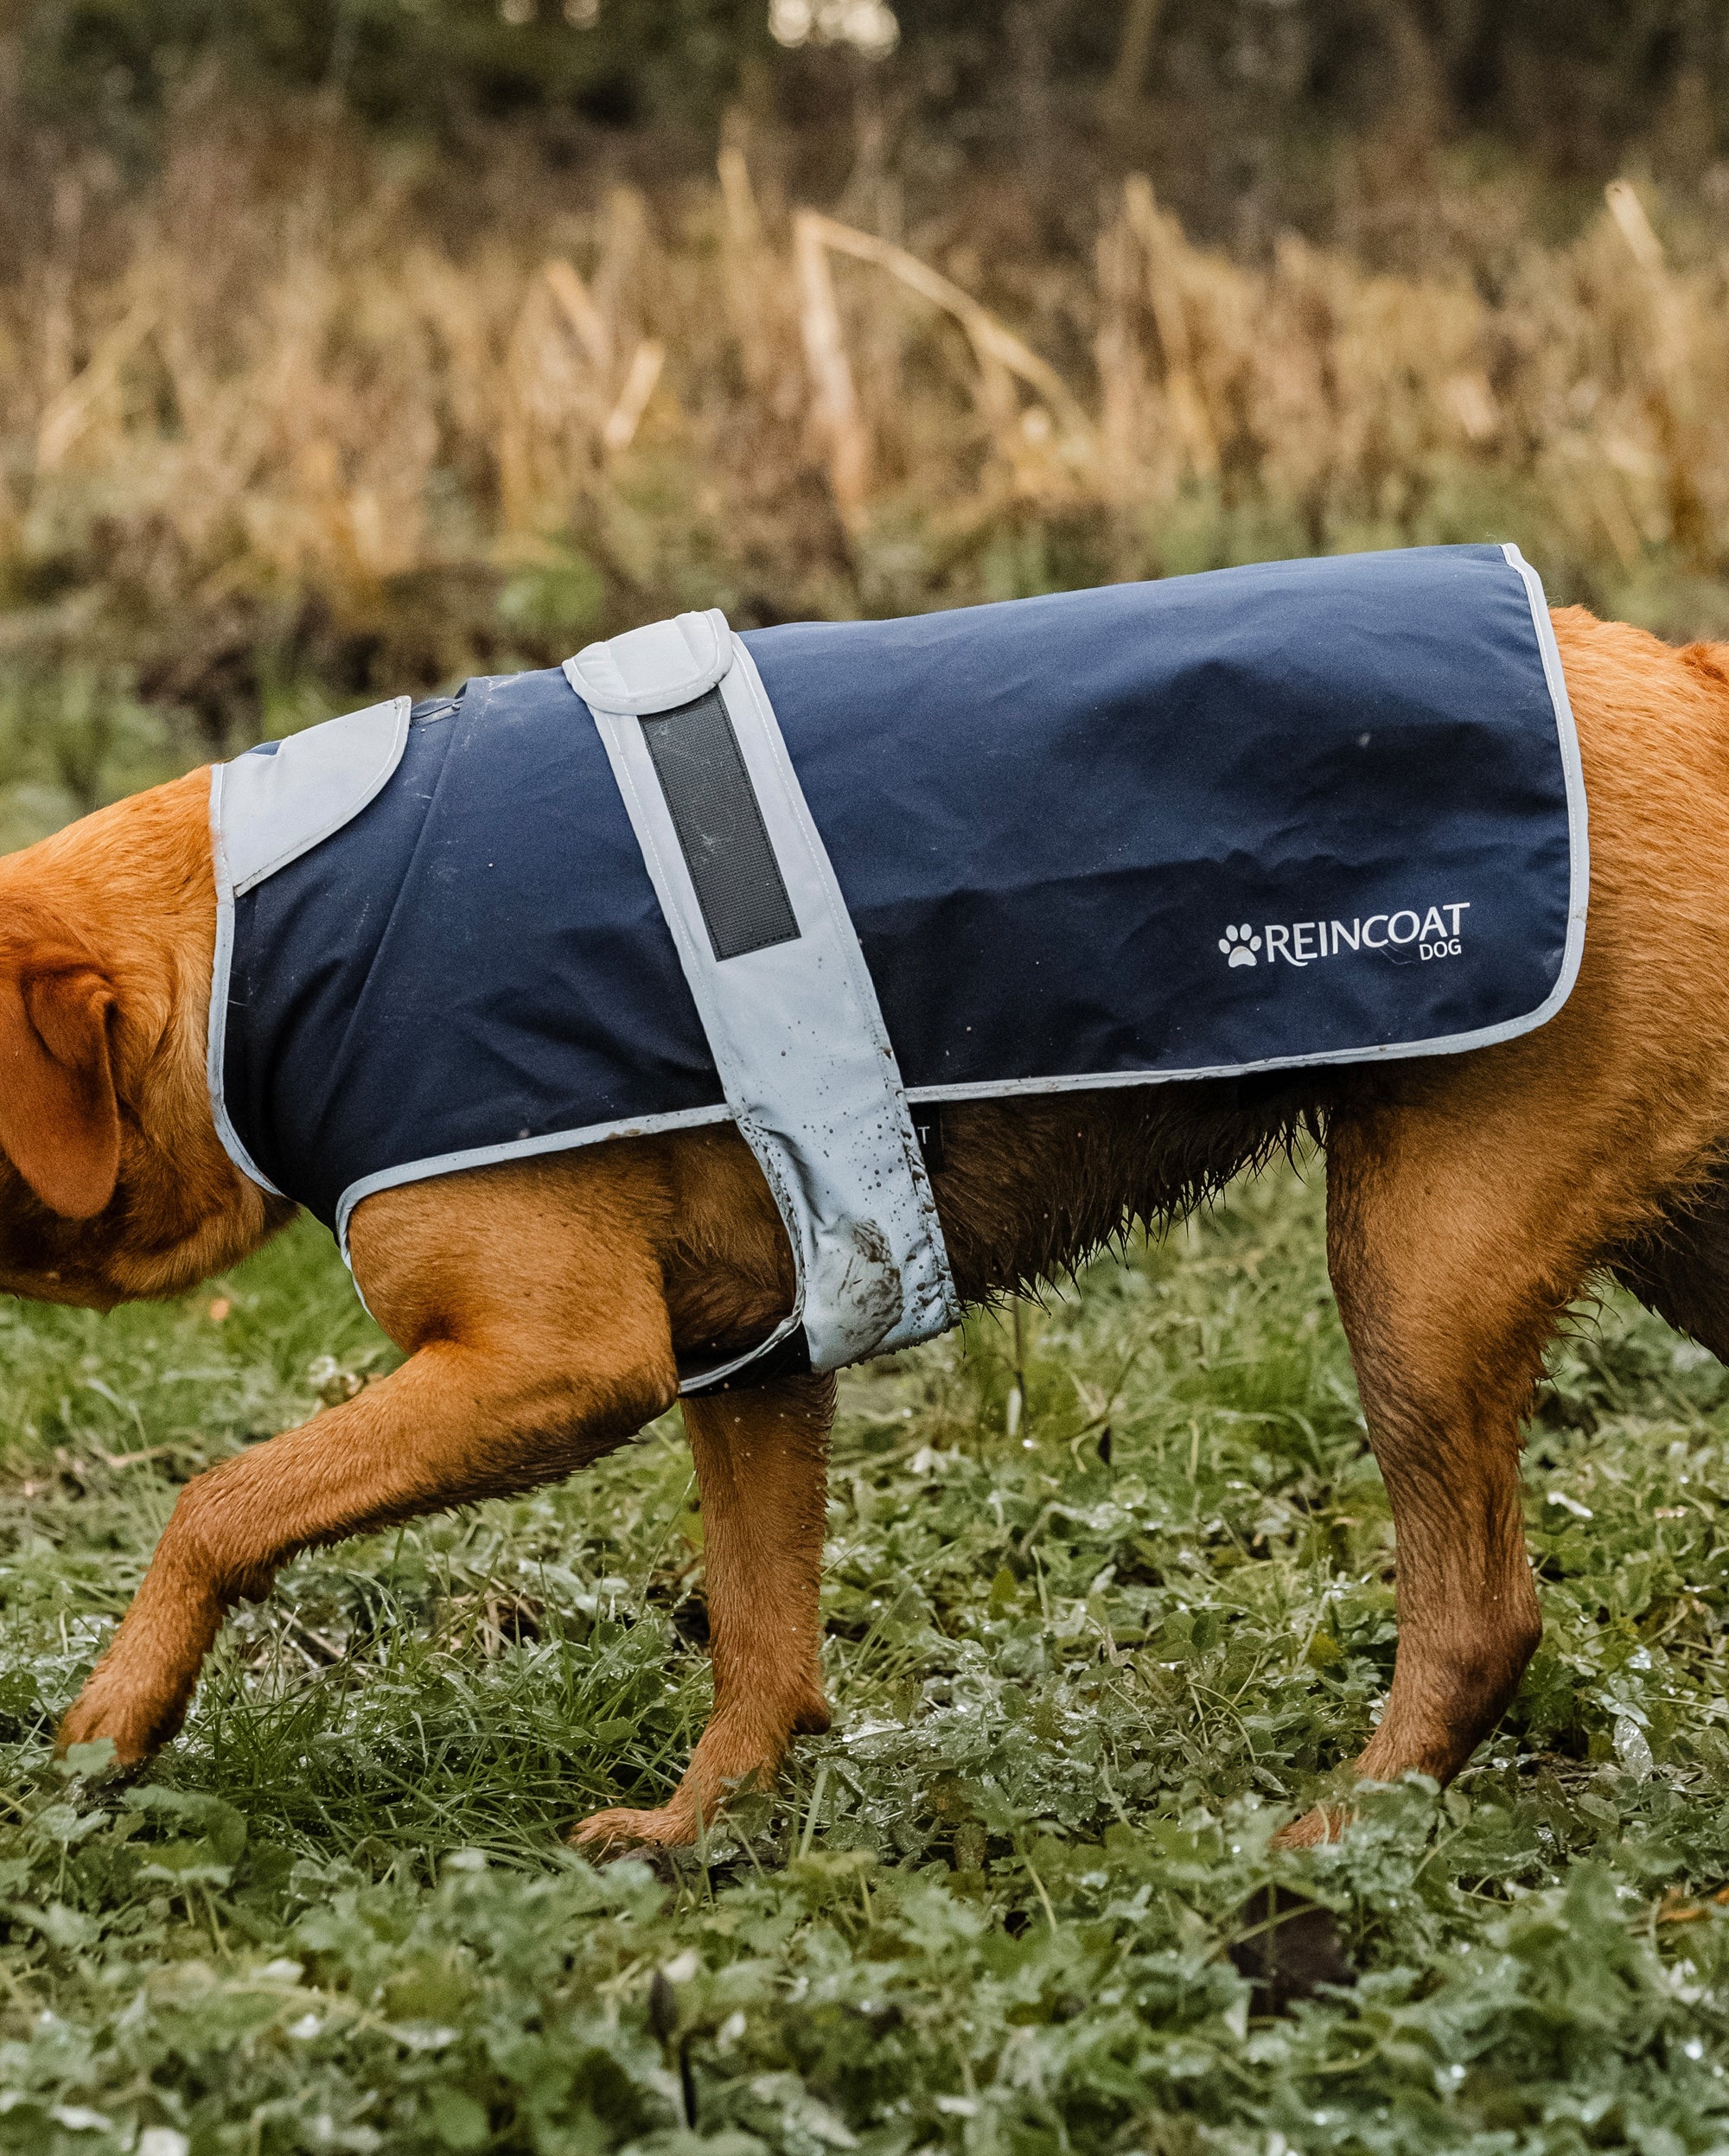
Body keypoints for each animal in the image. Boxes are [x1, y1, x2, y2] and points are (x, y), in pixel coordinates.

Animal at [0, 599, 1716, 1845]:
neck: (249, 938)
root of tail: (1680, 672)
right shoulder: (752, 1366)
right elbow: (763, 1635)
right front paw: (699, 1831)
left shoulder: (559, 1363)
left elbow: (216, 1500)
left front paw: (112, 1716)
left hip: (1419, 1276)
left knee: (1481, 1614)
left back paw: (1334, 1838)